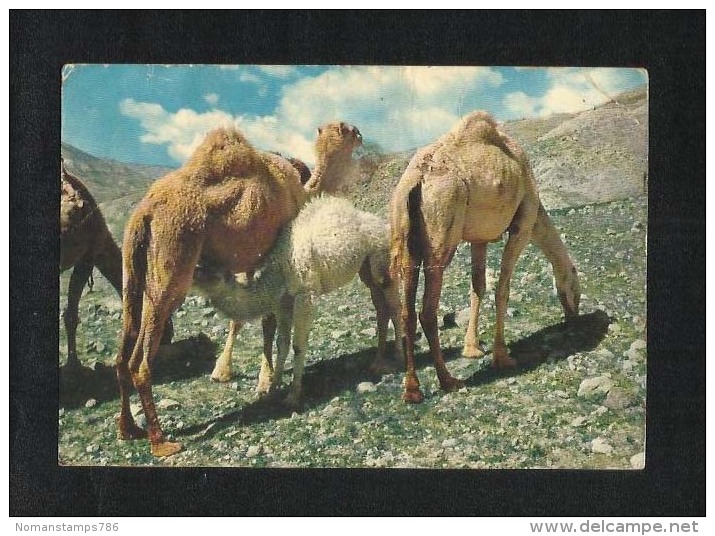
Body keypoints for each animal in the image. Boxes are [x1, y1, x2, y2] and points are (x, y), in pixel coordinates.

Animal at [118, 120, 364, 456]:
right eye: (346, 129)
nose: (361, 135)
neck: (302, 190)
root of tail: (145, 211)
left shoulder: (253, 259)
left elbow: (245, 318)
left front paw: (234, 373)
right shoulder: (277, 254)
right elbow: (268, 321)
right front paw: (266, 381)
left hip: (133, 269)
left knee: (124, 346)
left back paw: (128, 429)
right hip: (174, 259)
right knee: (141, 360)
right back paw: (161, 442)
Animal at [392, 111, 580, 402]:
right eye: (577, 286)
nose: (575, 317)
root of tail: (417, 180)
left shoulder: (478, 238)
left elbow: (478, 286)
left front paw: (472, 348)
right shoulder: (523, 224)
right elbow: (502, 288)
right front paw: (502, 356)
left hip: (405, 239)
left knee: (407, 312)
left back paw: (412, 390)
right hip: (442, 233)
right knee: (427, 311)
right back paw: (448, 380)